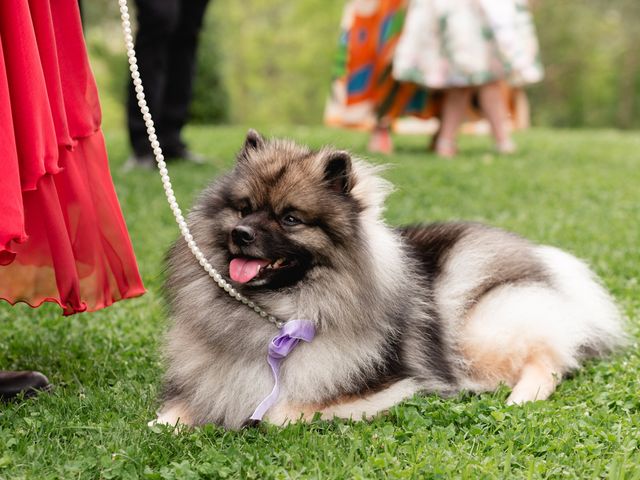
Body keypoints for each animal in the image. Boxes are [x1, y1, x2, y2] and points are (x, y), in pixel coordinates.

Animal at [155, 129, 624, 430]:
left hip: (480, 329)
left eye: (290, 219)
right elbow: (167, 418)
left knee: (550, 360)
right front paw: (172, 420)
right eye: (244, 208)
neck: (275, 312)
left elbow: (276, 414)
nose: (241, 234)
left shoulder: (382, 384)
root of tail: (541, 259)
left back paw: (519, 395)